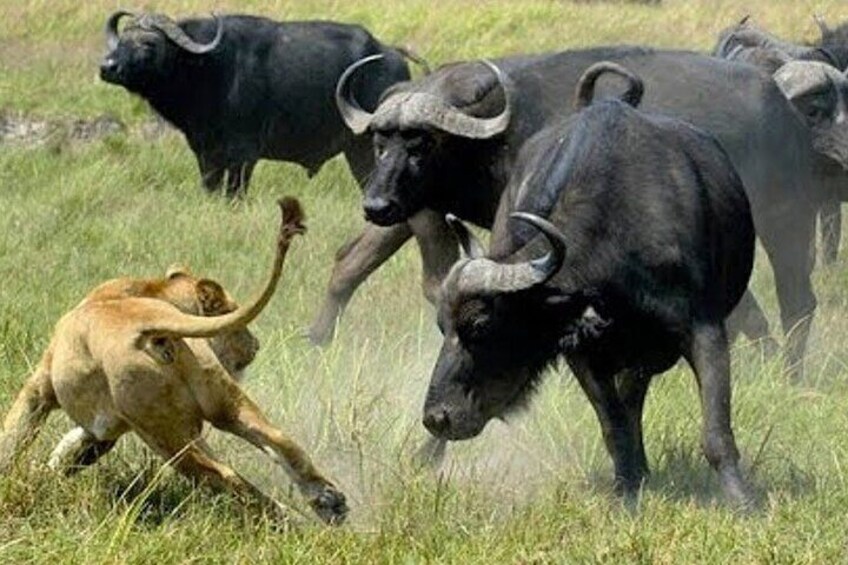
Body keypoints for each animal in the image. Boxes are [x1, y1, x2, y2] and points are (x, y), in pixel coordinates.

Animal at [0, 197, 347, 524]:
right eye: (237, 320)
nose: (256, 345)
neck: (157, 291)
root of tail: (147, 326)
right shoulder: (109, 426)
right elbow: (72, 448)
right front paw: (49, 472)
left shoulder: (40, 387)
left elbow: (14, 434)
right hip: (220, 402)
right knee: (278, 441)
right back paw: (328, 501)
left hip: (160, 433)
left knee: (222, 475)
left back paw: (285, 521)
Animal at [337, 46, 839, 380]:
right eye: (380, 142)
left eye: (421, 143)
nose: (376, 204)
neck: (503, 131)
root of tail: (785, 111)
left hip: (788, 222)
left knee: (797, 301)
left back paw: (791, 374)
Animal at [424, 62, 755, 505]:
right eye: (442, 326)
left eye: (479, 325)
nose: (436, 418)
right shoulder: (581, 350)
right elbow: (613, 426)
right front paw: (626, 492)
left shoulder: (705, 330)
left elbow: (716, 430)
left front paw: (742, 501)